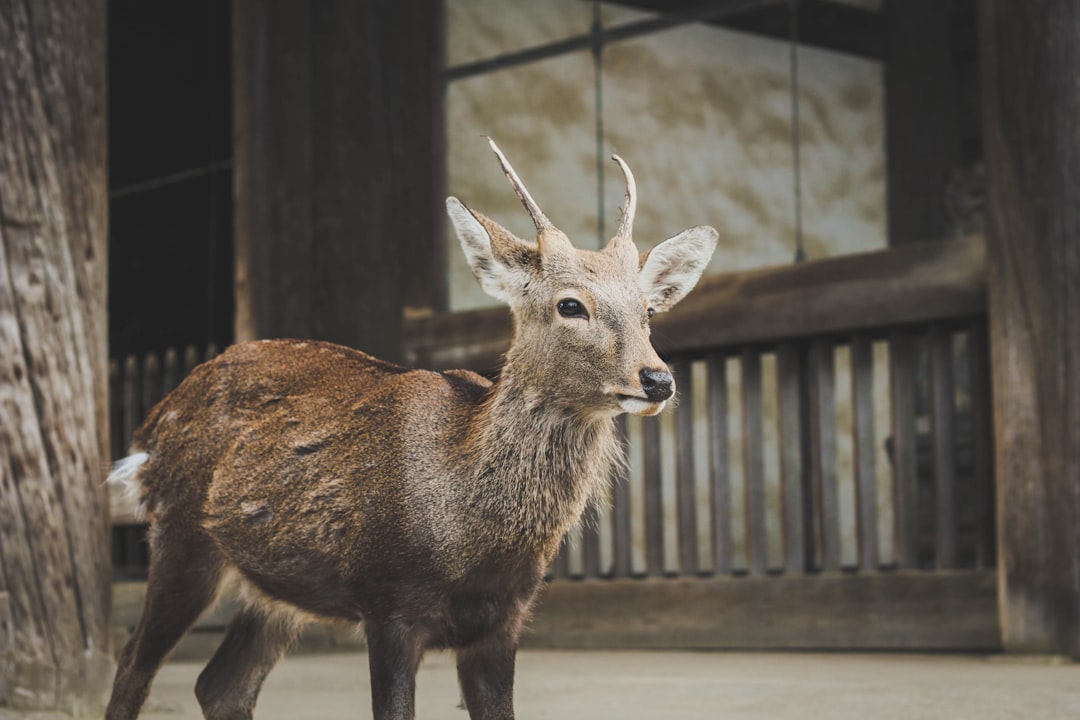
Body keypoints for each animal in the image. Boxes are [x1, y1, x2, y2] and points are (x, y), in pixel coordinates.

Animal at [105, 138, 717, 716]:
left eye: (648, 311)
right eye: (571, 305)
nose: (657, 379)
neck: (467, 536)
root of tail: (152, 426)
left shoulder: (503, 621)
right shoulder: (389, 602)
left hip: (275, 586)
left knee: (221, 686)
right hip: (181, 534)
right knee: (133, 662)